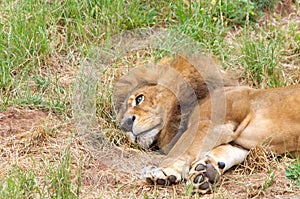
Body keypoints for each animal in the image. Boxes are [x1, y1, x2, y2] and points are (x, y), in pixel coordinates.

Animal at [113, 55, 300, 194]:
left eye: (139, 98)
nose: (125, 125)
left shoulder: (207, 122)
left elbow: (182, 148)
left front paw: (163, 172)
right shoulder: (239, 144)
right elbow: (224, 151)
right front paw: (204, 171)